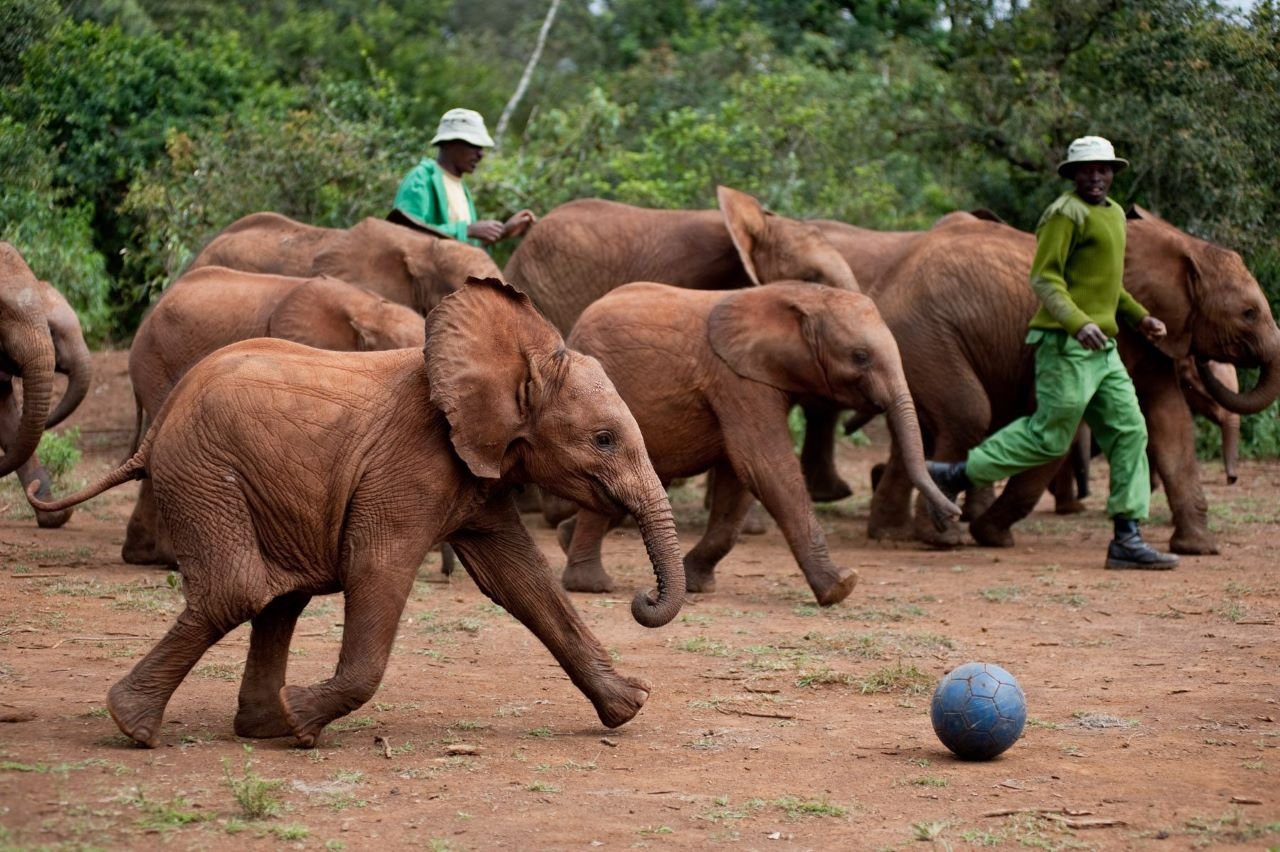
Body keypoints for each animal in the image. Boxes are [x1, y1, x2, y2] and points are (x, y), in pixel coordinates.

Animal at [556, 282, 960, 606]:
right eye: (859, 357)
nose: (951, 516)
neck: (801, 296)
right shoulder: (738, 380)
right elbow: (764, 466)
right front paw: (840, 587)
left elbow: (738, 480)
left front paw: (697, 584)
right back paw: (591, 585)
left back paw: (564, 540)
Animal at [839, 208, 1279, 553]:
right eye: (1249, 314)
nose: (1201, 359)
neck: (1181, 244)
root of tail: (883, 286)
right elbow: (1059, 428)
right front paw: (991, 536)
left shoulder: (1147, 339)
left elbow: (1171, 425)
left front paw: (1199, 549)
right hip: (925, 336)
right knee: (968, 416)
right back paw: (942, 537)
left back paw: (890, 534)